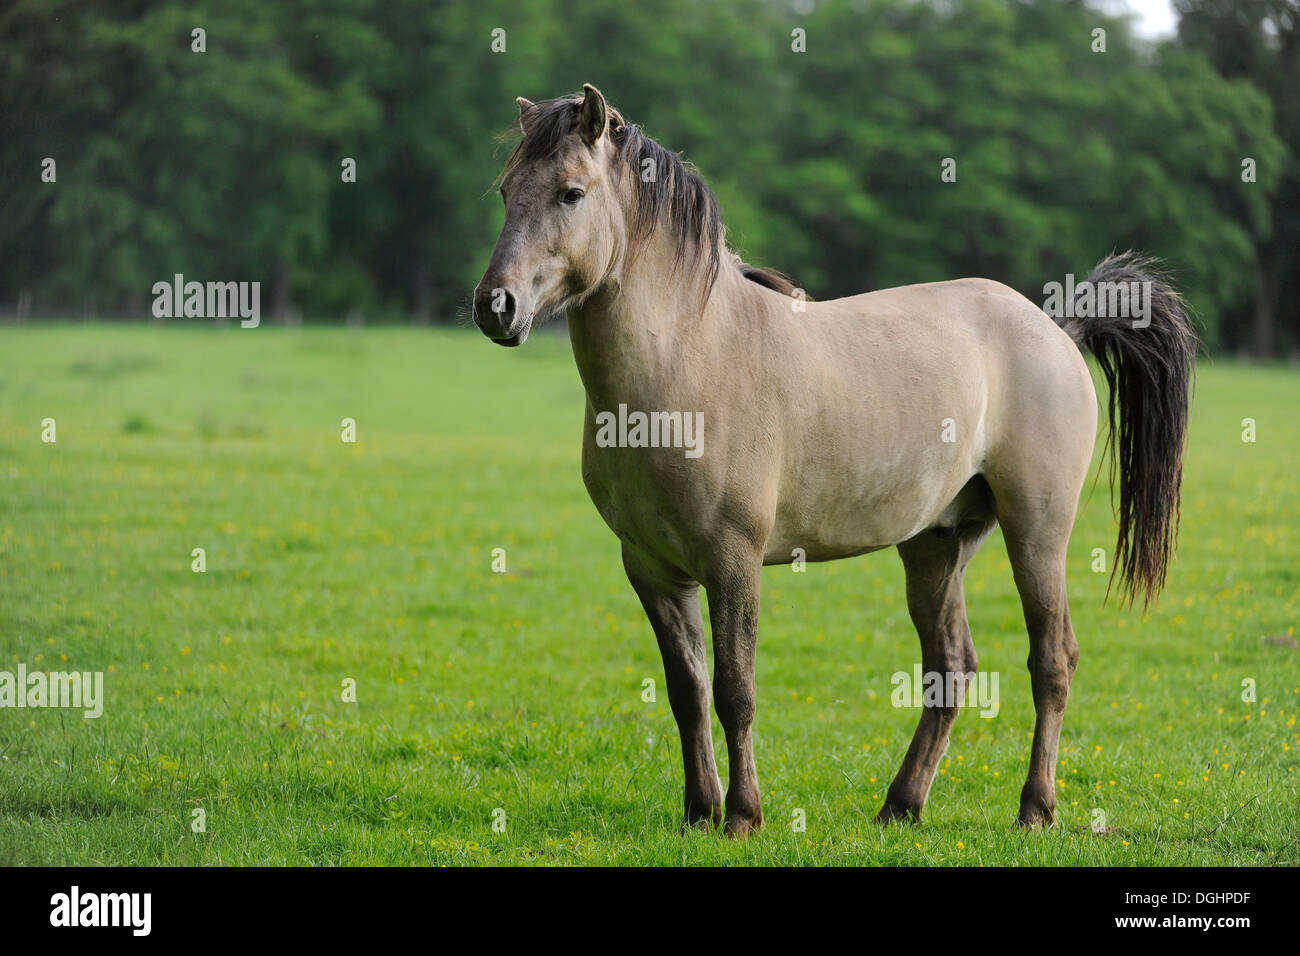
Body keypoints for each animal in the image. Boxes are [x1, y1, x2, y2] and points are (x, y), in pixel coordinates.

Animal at [473, 87, 1190, 837]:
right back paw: (901, 805)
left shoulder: (732, 562)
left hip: (1037, 534)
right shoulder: (652, 569)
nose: (496, 306)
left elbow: (735, 691)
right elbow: (686, 692)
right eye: (507, 190)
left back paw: (1034, 808)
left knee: (1052, 659)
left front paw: (743, 816)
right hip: (936, 545)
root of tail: (1057, 329)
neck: (688, 359)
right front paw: (699, 812)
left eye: (571, 192)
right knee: (950, 668)